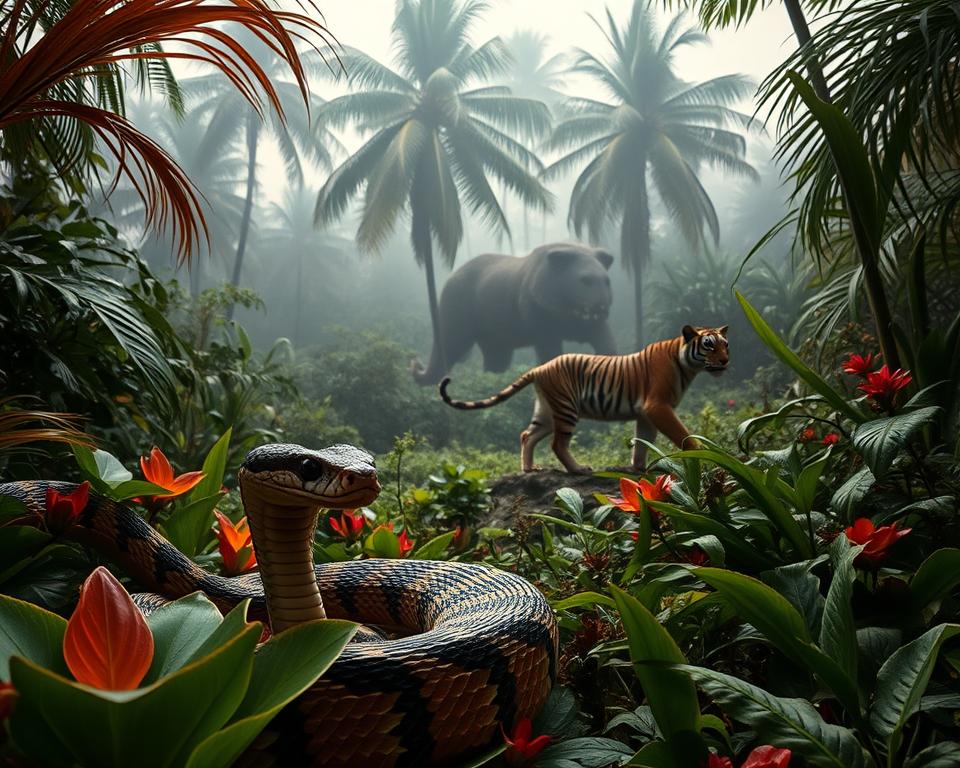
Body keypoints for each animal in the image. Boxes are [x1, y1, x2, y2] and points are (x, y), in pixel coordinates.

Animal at [439, 325, 729, 474]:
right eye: (709, 345)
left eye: (726, 344)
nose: (726, 361)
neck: (687, 365)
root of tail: (540, 367)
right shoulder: (657, 406)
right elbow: (682, 434)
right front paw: (704, 454)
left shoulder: (646, 413)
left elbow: (642, 442)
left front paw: (638, 468)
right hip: (566, 407)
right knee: (557, 443)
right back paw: (578, 469)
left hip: (546, 411)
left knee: (527, 435)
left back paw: (530, 469)